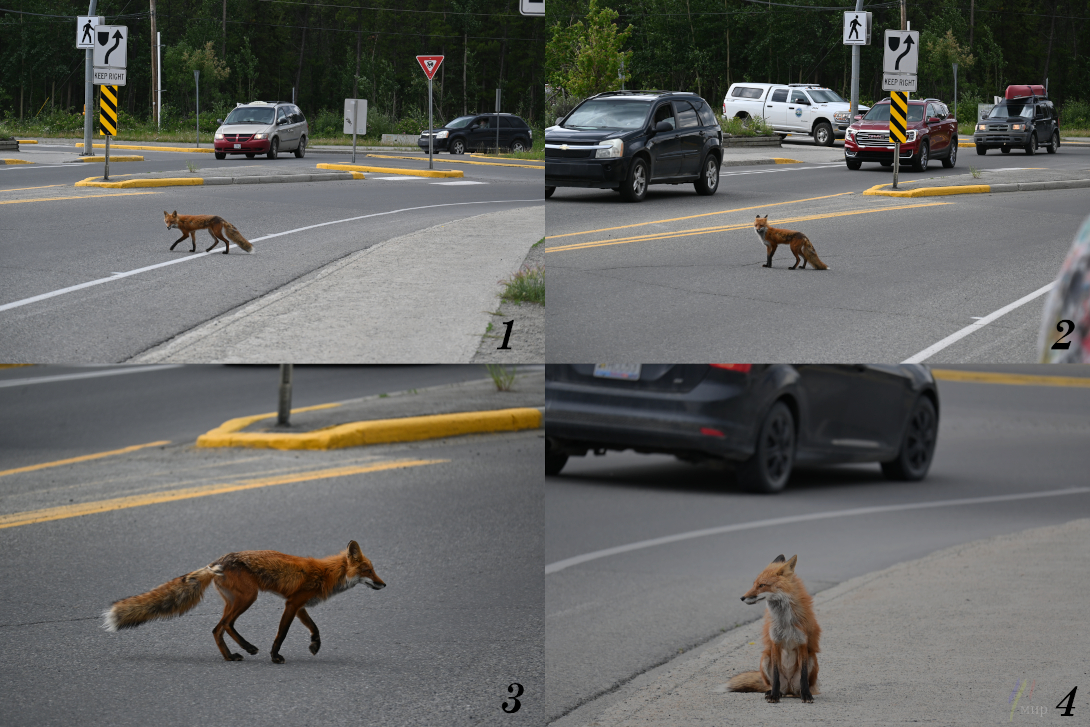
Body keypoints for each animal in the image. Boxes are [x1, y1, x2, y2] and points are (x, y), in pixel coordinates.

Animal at [99, 540, 388, 667]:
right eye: (368, 570)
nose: (384, 584)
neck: (326, 573)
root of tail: (216, 562)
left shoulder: (299, 605)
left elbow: (315, 628)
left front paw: (315, 645)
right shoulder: (292, 603)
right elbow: (281, 634)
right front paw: (275, 656)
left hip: (236, 601)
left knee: (221, 628)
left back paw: (239, 652)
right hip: (249, 598)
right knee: (221, 627)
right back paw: (237, 653)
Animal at [728, 553, 819, 701]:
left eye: (762, 585)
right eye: (754, 584)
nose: (742, 598)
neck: (785, 621)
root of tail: (789, 689)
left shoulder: (802, 643)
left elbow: (803, 676)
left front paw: (806, 695)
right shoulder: (775, 643)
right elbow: (776, 676)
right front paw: (774, 696)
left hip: (812, 658)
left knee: (800, 686)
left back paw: (800, 693)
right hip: (765, 658)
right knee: (773, 685)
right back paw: (773, 692)